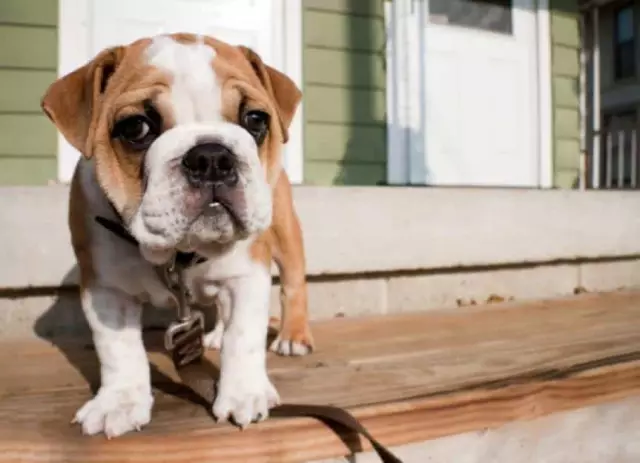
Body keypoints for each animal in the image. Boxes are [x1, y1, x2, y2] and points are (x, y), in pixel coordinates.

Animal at [40, 33, 316, 438]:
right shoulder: (106, 289)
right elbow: (118, 349)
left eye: (255, 119)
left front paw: (244, 393)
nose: (213, 156)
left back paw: (293, 337)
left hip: (285, 232)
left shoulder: (248, 273)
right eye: (136, 128)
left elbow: (244, 336)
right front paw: (119, 401)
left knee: (294, 286)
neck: (179, 253)